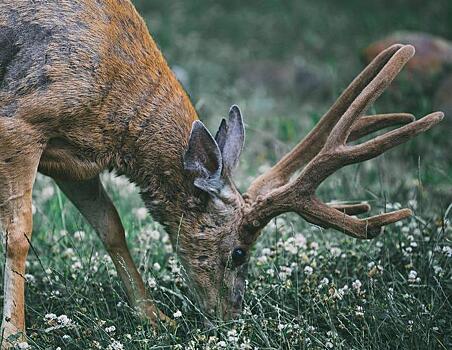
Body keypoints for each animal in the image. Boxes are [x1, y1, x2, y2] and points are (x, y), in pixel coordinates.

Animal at [0, 0, 444, 348]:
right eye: (239, 252)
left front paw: (154, 318)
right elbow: (18, 236)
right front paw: (15, 334)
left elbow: (111, 227)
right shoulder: (21, 121)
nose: (231, 316)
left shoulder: (75, 159)